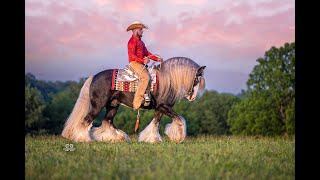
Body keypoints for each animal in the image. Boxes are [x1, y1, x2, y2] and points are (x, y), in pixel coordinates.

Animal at [61, 56, 206, 143]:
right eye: (196, 80)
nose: (193, 98)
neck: (167, 80)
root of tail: (94, 77)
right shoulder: (163, 106)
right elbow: (179, 119)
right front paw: (178, 137)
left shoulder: (160, 108)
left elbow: (155, 123)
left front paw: (152, 139)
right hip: (98, 105)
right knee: (86, 120)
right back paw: (83, 139)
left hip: (113, 106)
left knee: (107, 121)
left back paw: (119, 138)